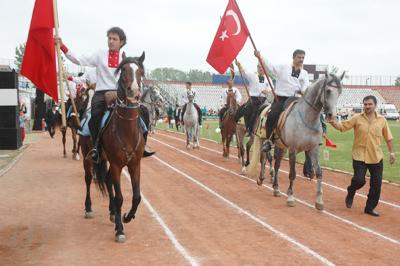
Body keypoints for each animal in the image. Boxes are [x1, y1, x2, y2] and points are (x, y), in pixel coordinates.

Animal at [94, 52, 147, 243]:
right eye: (123, 70)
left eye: (140, 71)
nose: (134, 91)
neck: (126, 130)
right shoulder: (117, 165)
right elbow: (119, 198)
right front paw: (120, 229)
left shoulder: (135, 164)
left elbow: (137, 196)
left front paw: (127, 217)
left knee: (108, 179)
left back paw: (112, 213)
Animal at [260, 72, 344, 210]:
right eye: (328, 90)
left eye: (340, 92)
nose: (332, 115)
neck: (308, 118)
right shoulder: (293, 149)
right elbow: (292, 173)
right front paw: (290, 197)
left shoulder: (313, 149)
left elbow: (319, 172)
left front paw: (319, 200)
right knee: (268, 159)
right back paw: (265, 180)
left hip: (281, 146)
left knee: (277, 164)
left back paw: (276, 188)